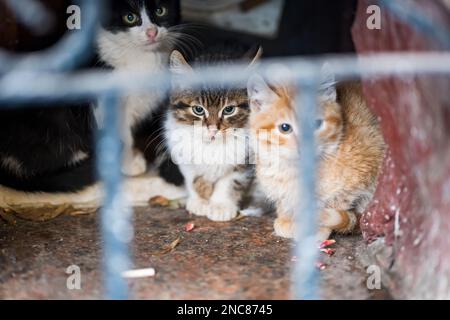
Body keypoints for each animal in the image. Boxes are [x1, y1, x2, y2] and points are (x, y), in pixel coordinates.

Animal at [165, 47, 262, 221]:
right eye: (198, 109)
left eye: (229, 109)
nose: (213, 129)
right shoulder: (181, 152)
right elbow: (193, 177)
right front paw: (200, 200)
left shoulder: (246, 158)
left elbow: (230, 180)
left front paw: (221, 205)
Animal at [248, 70, 384, 240]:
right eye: (285, 127)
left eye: (316, 124)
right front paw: (286, 218)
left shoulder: (367, 164)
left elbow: (337, 200)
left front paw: (317, 227)